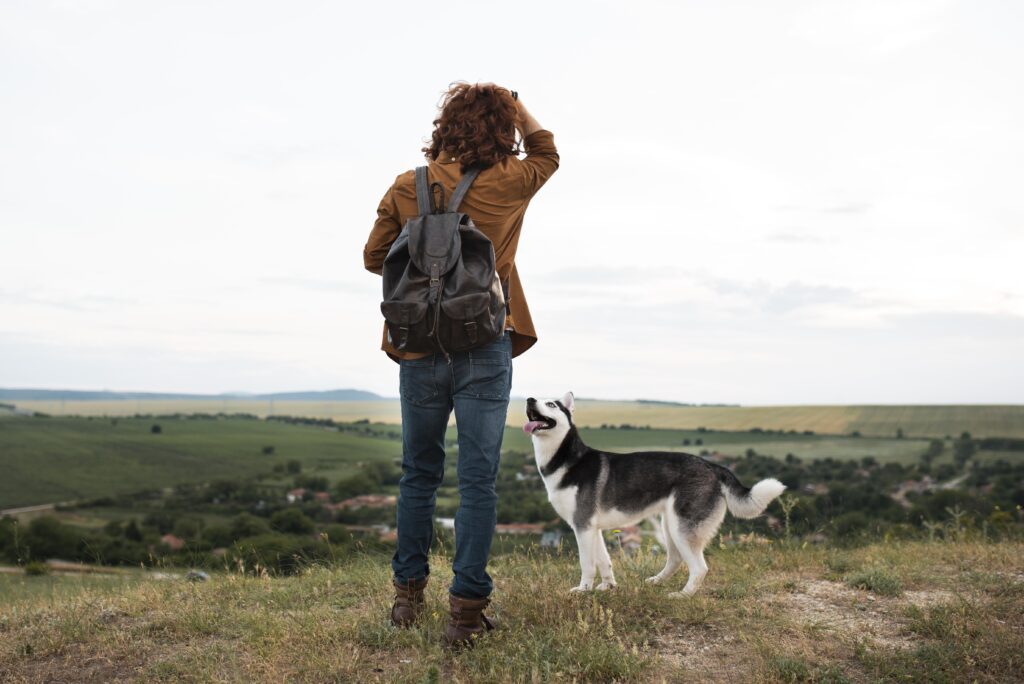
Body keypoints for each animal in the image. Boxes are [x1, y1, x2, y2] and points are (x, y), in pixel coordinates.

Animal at [524, 393, 786, 593]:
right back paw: (657, 581)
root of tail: (711, 465)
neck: (566, 459)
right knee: (676, 559)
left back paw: (683, 595)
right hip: (669, 524)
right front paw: (607, 587)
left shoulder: (582, 526)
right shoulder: (592, 528)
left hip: (682, 527)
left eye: (551, 404)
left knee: (699, 567)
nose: (529, 399)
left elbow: (587, 564)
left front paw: (583, 590)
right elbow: (604, 561)